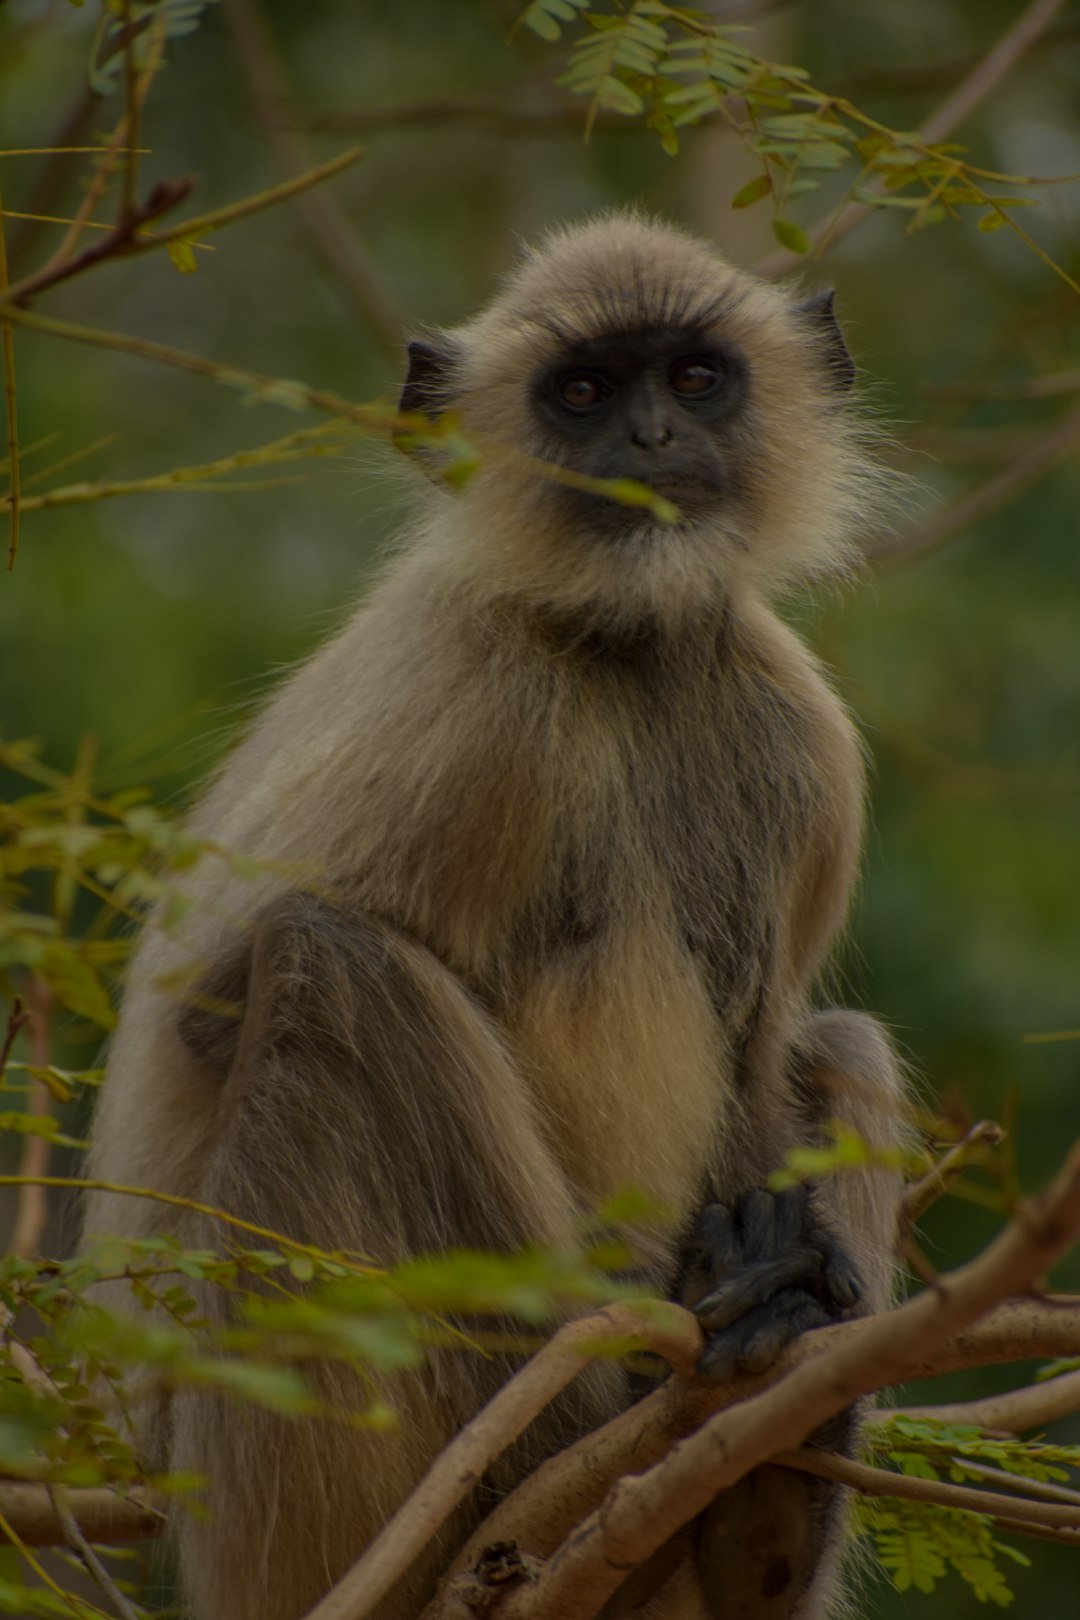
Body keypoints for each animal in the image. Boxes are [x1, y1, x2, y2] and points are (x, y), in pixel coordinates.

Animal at [83, 211, 906, 1620]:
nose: (649, 440)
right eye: (581, 392)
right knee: (339, 969)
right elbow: (211, 1007)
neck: (625, 650)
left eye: (695, 378)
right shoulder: (476, 707)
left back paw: (760, 1502)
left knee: (837, 1041)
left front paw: (759, 1298)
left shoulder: (798, 738)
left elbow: (759, 1045)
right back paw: (558, 1459)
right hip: (283, 1485)